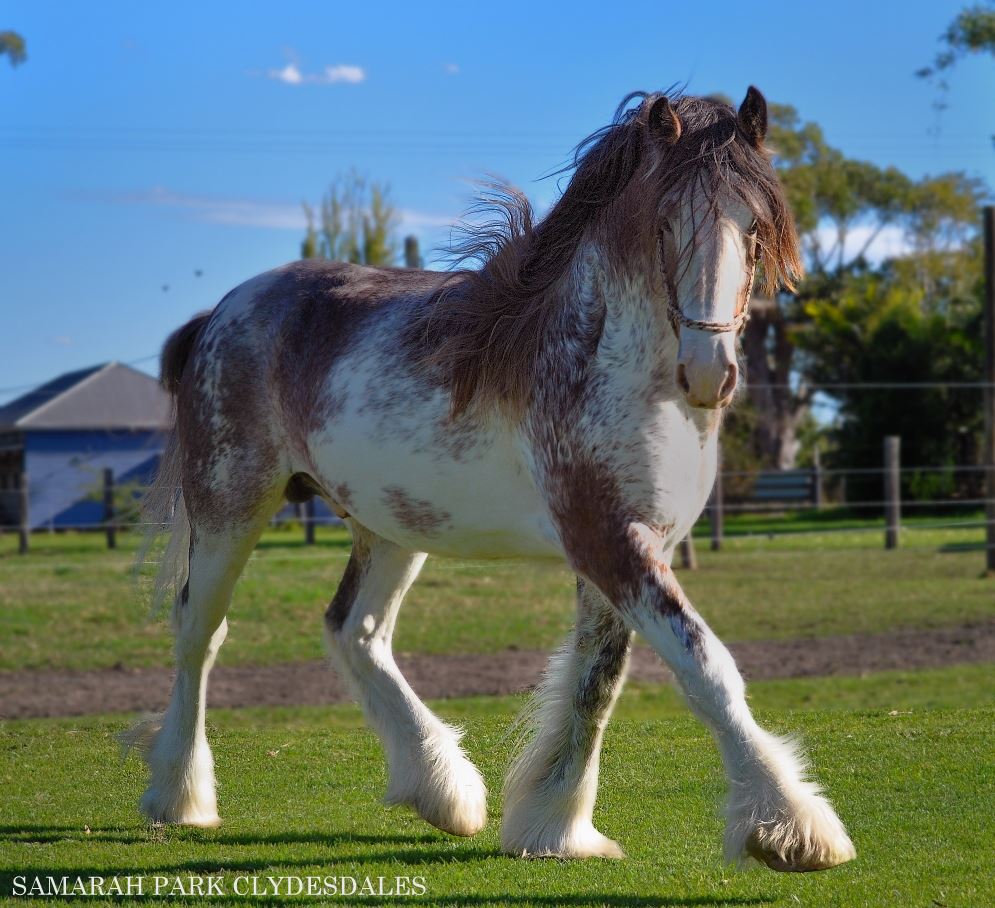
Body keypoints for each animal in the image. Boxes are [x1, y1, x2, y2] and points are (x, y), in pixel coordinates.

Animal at [122, 87, 856, 872]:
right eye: (664, 224)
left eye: (754, 227)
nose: (709, 373)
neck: (605, 367)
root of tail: (221, 312)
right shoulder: (608, 542)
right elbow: (704, 667)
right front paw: (791, 828)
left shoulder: (629, 548)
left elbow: (597, 681)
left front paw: (554, 827)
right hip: (231, 505)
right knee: (200, 631)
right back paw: (180, 797)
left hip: (389, 525)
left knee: (356, 631)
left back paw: (442, 793)